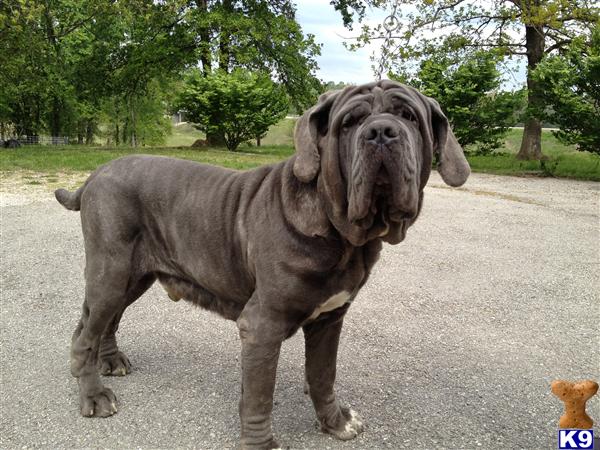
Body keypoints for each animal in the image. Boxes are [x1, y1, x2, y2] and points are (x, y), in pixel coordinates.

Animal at [56, 79, 468, 448]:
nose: (381, 132)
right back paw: (94, 395)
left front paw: (335, 422)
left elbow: (323, 374)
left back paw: (111, 361)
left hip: (133, 276)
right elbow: (259, 397)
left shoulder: (330, 318)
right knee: (85, 333)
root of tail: (95, 174)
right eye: (350, 122)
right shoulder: (262, 326)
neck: (342, 235)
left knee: (107, 321)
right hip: (111, 272)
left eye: (409, 117)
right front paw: (262, 443)